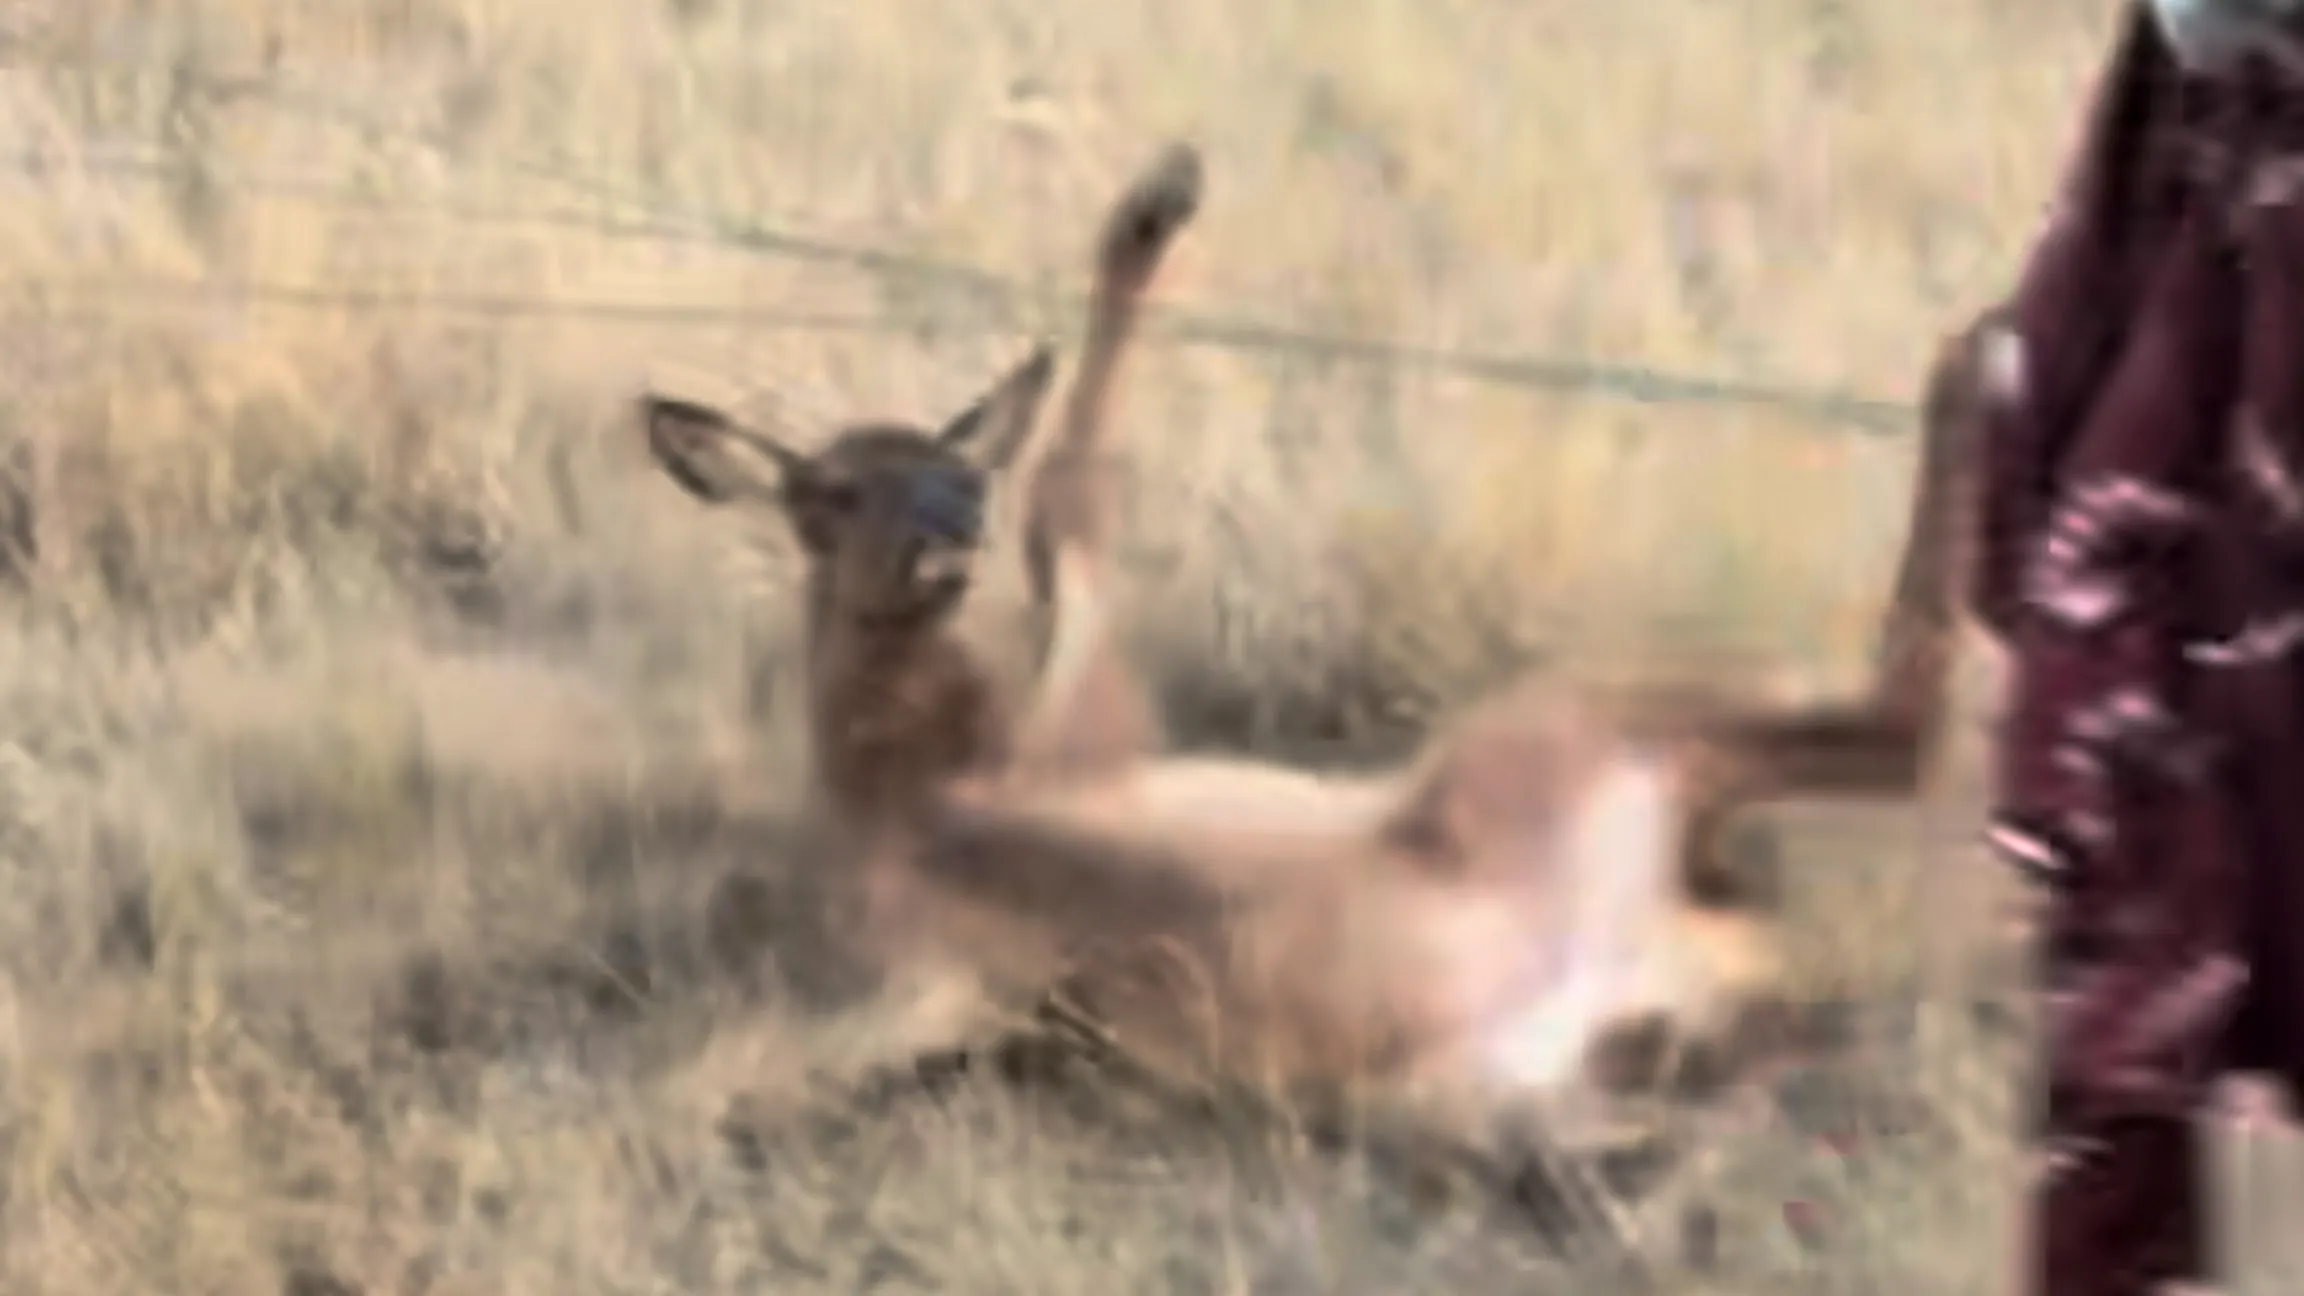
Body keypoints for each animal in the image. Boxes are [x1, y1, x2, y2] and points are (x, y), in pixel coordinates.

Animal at [636, 138, 1984, 1170]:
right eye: (828, 492)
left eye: (954, 458)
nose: (949, 521)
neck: (905, 789)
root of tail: (1659, 942)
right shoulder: (978, 905)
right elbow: (1067, 507)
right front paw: (1154, 198)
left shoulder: (1071, 752)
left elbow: (1068, 516)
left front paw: (1158, 195)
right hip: (1564, 769)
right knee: (1896, 728)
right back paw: (1987, 350)